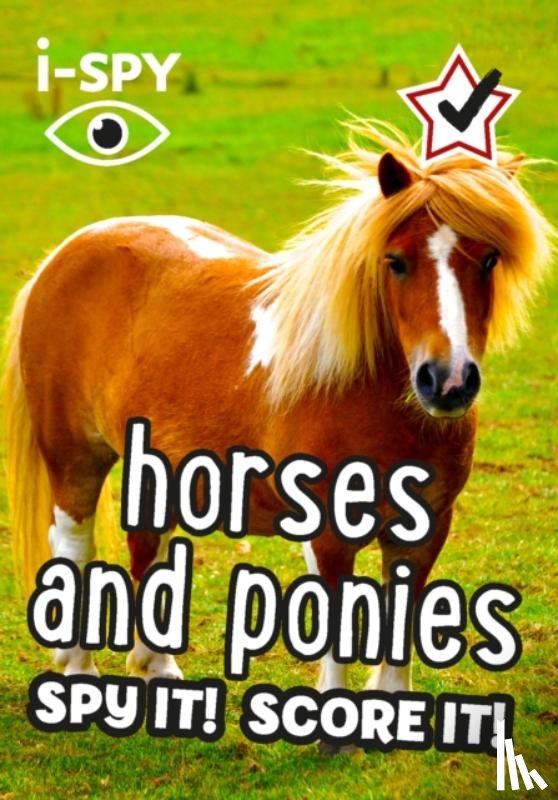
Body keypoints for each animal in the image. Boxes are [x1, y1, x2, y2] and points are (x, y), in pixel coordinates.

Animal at [4, 119, 553, 701]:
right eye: (397, 262)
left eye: (489, 259)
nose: (447, 381)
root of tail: (64, 254)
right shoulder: (329, 531)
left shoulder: (425, 530)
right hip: (74, 459)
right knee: (73, 545)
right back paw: (78, 673)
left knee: (148, 547)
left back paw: (157, 668)